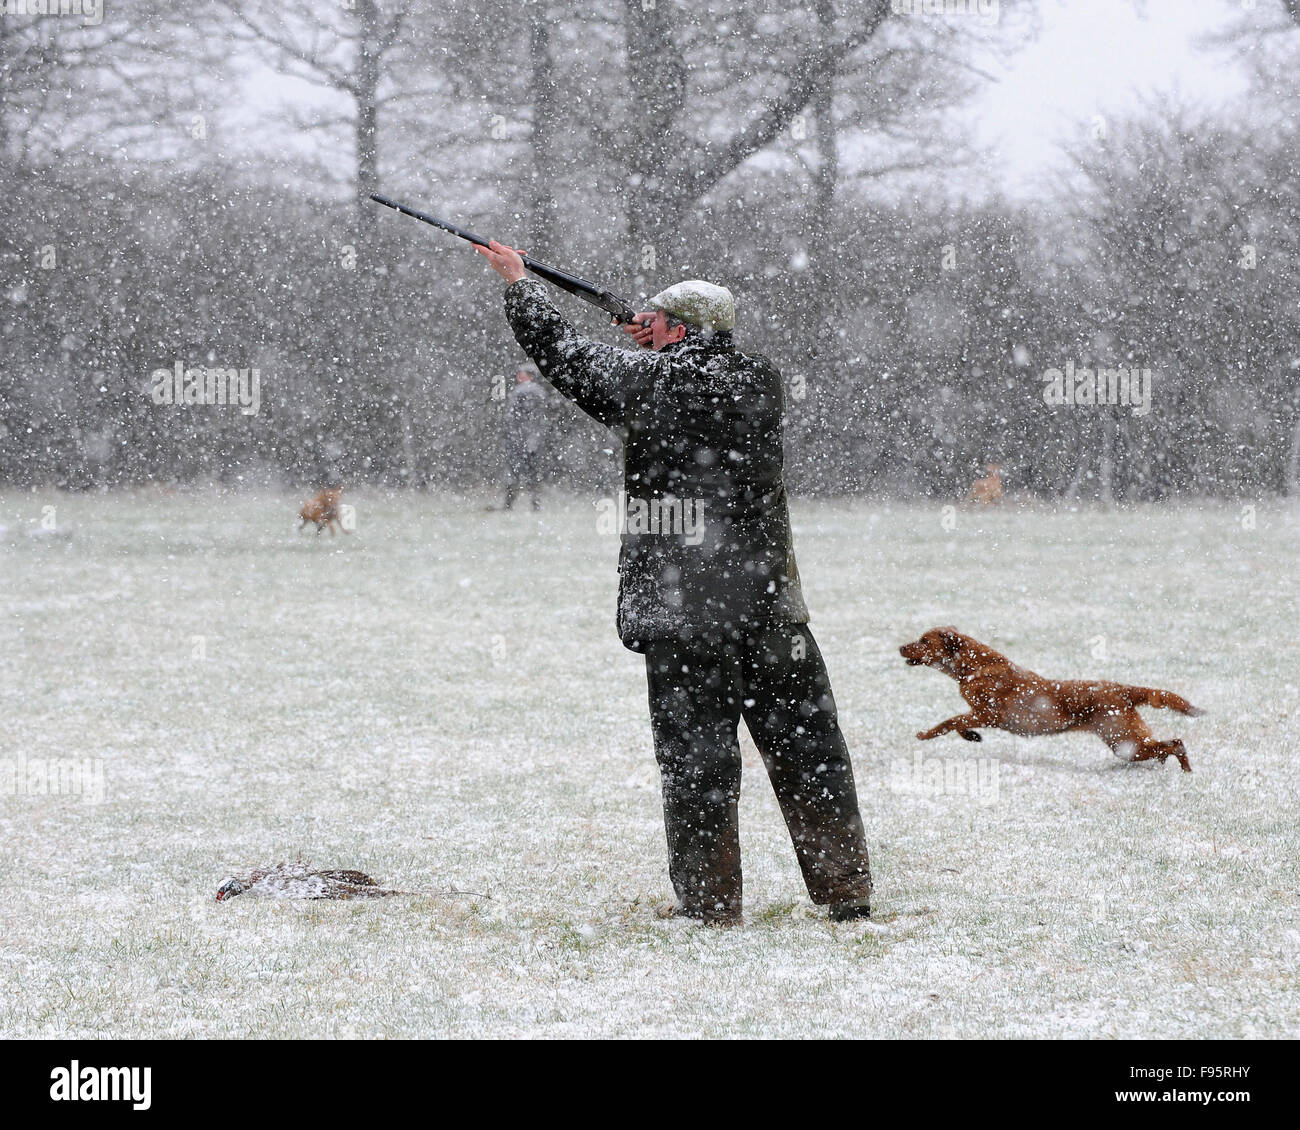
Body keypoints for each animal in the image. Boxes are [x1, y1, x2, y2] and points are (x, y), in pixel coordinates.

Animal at [899, 629, 1201, 769]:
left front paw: (926, 734)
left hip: (1124, 742)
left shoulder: (990, 713)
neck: (974, 668)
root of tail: (1122, 689)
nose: (900, 646)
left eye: (924, 640)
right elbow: (959, 723)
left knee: (1175, 743)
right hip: (1126, 742)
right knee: (1166, 744)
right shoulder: (982, 715)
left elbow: (949, 722)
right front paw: (972, 736)